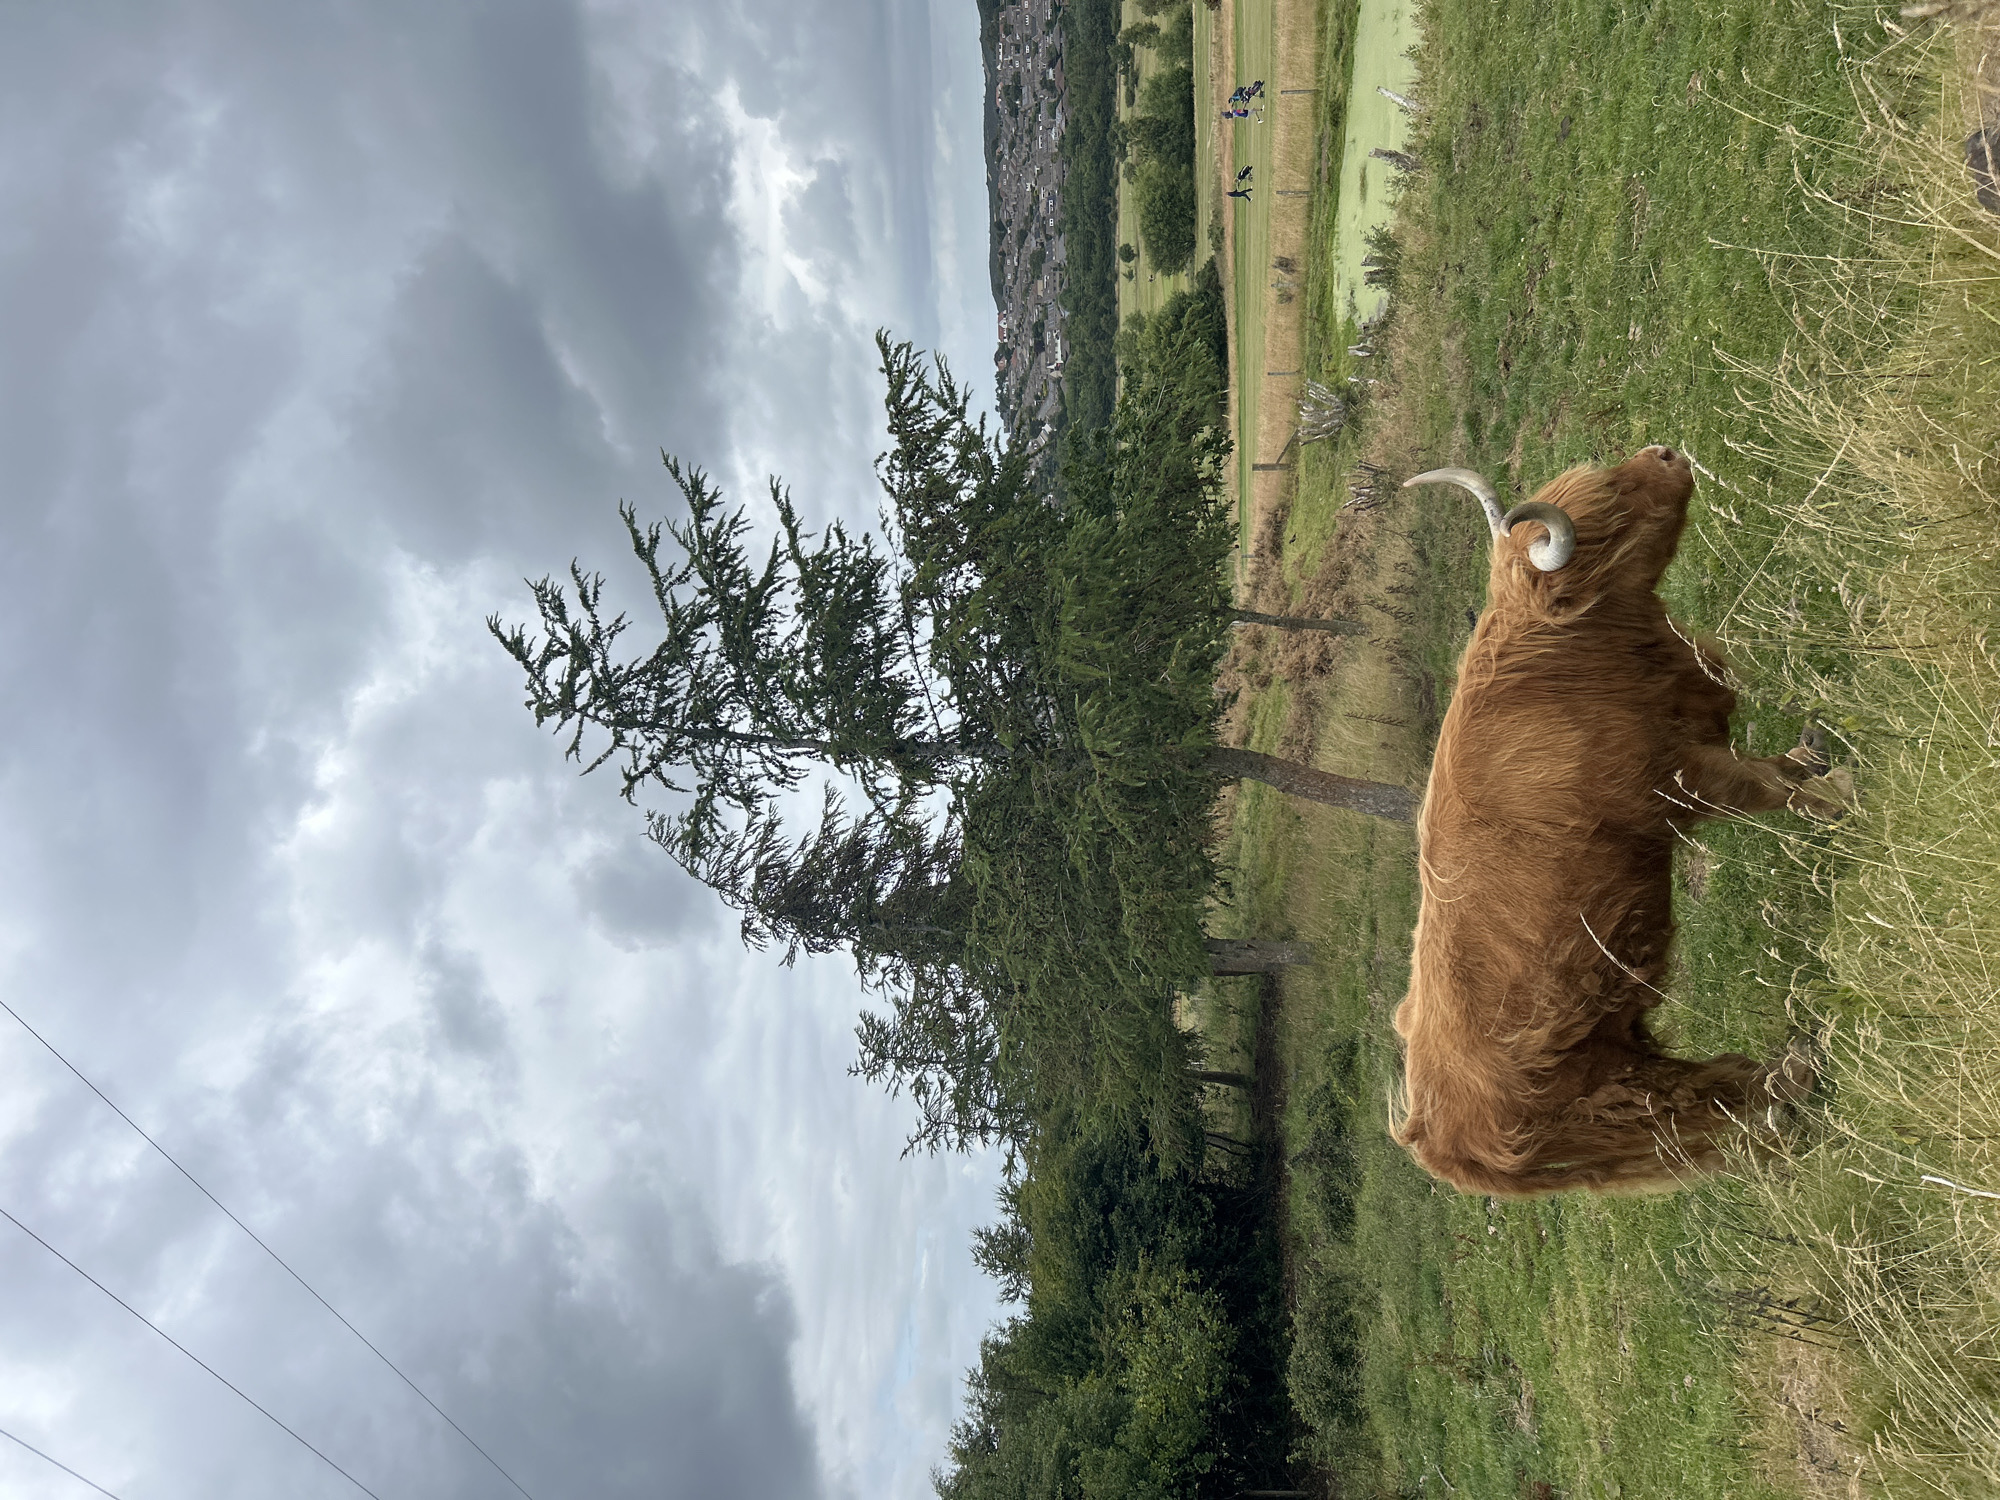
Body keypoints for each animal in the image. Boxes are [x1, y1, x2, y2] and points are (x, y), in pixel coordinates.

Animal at [1390, 445, 1849, 1198]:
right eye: (1608, 510)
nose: (1664, 453)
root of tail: (1436, 1141)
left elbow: (1779, 766)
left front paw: (1821, 756)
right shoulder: (1682, 782)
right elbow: (1770, 787)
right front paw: (1840, 798)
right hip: (1611, 1100)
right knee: (1703, 1110)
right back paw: (1797, 1082)